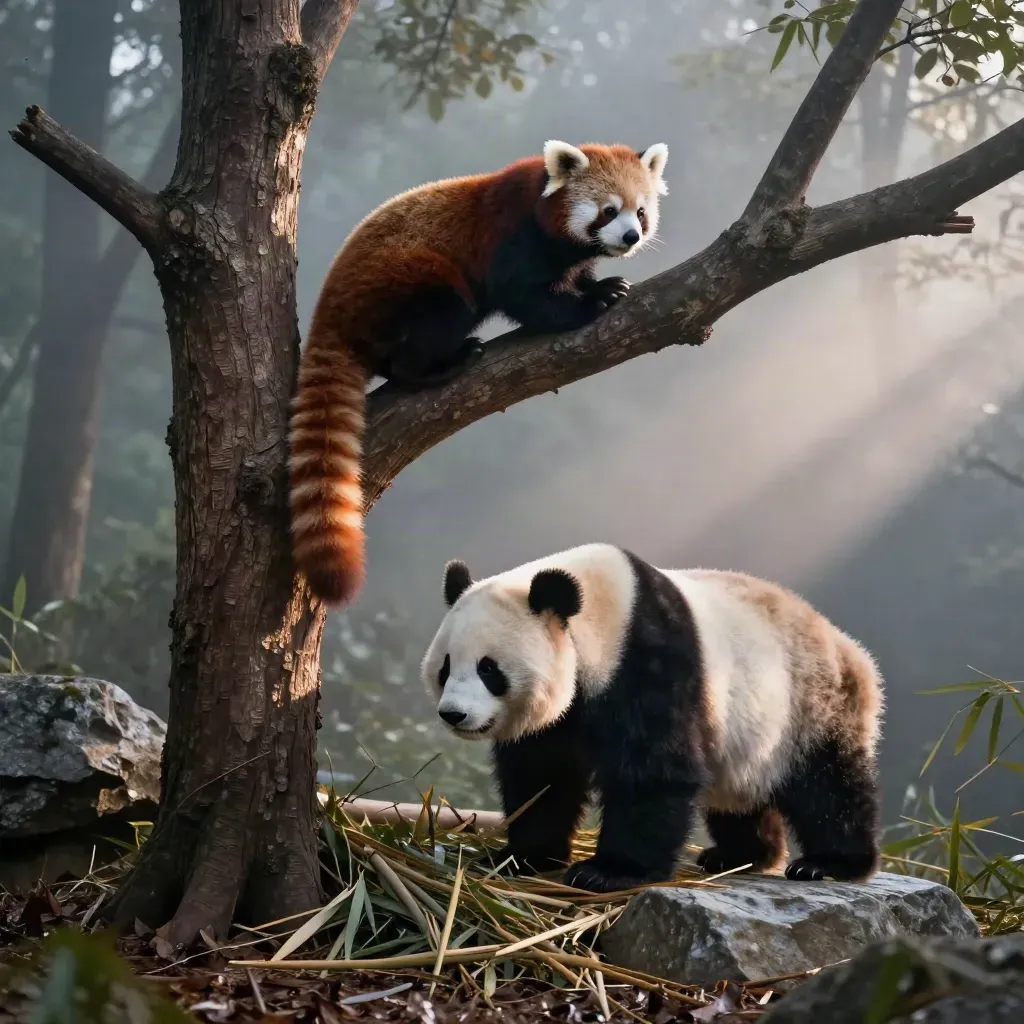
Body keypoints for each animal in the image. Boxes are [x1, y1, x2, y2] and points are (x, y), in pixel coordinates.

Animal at [420, 543, 885, 894]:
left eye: (489, 669)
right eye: (445, 666)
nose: (454, 714)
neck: (596, 615)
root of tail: (854, 653)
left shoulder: (648, 661)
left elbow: (653, 771)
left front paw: (606, 872)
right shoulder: (558, 721)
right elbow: (541, 777)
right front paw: (520, 856)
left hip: (810, 703)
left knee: (828, 787)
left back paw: (829, 864)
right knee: (741, 796)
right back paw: (740, 855)